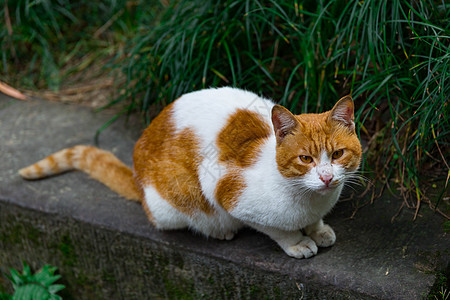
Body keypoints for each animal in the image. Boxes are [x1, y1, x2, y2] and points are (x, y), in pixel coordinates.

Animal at [19, 86, 362, 258]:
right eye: (305, 159)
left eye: (337, 154)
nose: (327, 177)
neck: (308, 200)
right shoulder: (228, 192)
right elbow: (277, 230)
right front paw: (297, 242)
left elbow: (315, 222)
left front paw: (318, 229)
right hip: (171, 206)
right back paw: (220, 231)